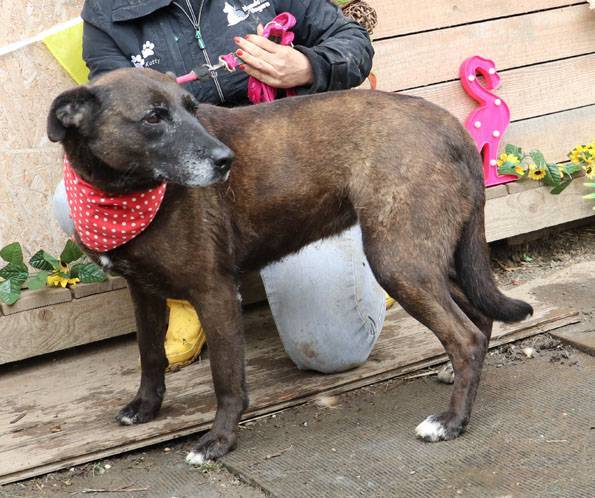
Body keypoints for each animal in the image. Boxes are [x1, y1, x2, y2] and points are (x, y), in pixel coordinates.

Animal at [47, 68, 532, 464]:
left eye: (192, 109)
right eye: (153, 118)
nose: (226, 161)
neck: (126, 194)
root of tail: (450, 125)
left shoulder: (214, 291)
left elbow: (226, 379)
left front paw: (219, 441)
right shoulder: (143, 292)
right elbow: (150, 356)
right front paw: (146, 409)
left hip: (399, 261)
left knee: (465, 336)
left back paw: (452, 422)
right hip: (426, 255)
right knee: (479, 315)